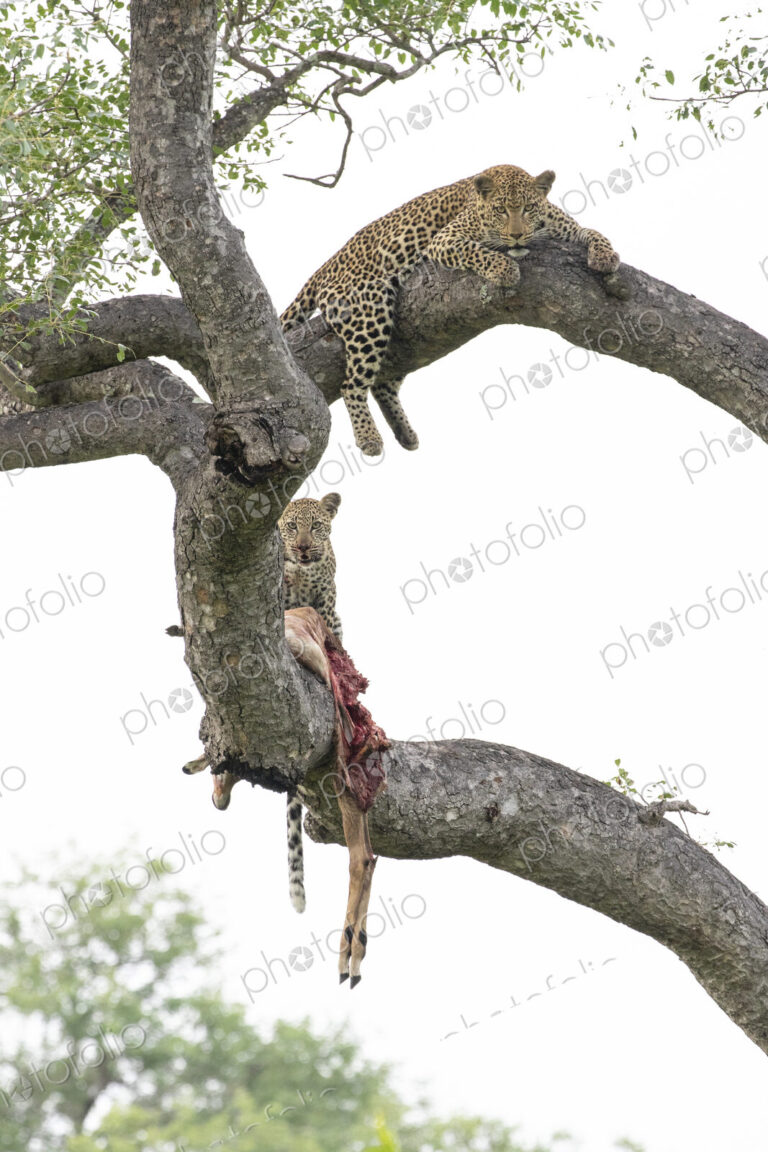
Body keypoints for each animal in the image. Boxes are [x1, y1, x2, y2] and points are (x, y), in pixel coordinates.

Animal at [281, 163, 620, 457]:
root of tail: (325, 267)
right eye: (501, 210)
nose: (516, 236)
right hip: (369, 307)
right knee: (352, 384)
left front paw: (606, 256)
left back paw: (404, 432)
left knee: (382, 383)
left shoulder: (566, 228)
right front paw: (505, 269)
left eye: (527, 208)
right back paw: (368, 438)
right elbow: (478, 250)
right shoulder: (446, 239)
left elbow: (593, 231)